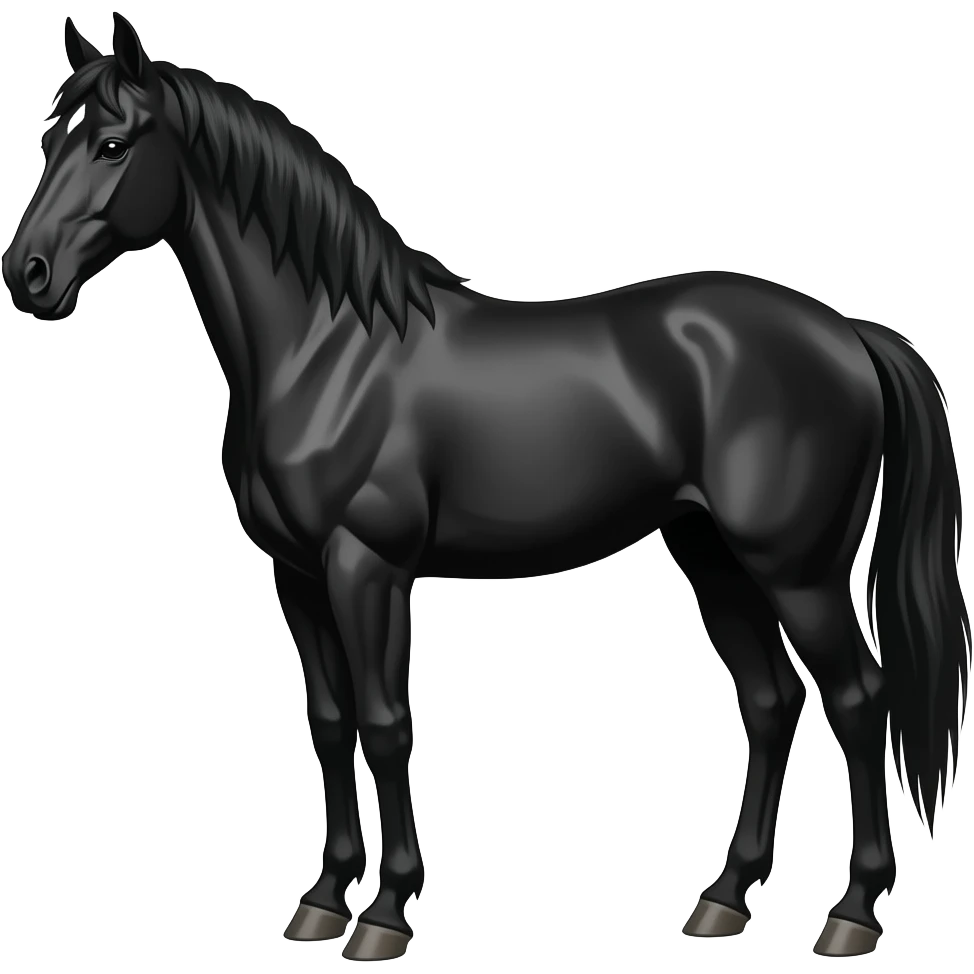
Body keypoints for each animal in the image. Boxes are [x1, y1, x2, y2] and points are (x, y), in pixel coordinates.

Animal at [3, 13, 969, 961]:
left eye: (115, 144)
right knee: (772, 704)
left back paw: (852, 912)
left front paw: (385, 913)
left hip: (798, 571)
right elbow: (330, 722)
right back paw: (724, 899)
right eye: (52, 137)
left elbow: (386, 722)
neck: (328, 348)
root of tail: (847, 333)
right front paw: (322, 899)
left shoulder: (368, 567)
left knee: (858, 700)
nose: (28, 275)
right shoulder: (298, 574)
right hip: (714, 556)